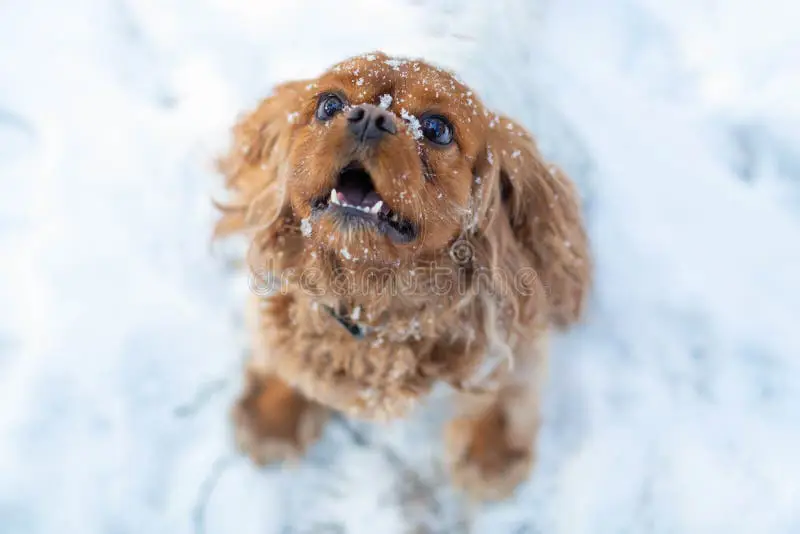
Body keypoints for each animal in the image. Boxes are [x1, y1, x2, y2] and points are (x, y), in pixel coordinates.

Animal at [216, 51, 592, 502]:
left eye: (437, 129)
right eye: (329, 104)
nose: (369, 116)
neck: (372, 297)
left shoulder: (514, 320)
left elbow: (513, 385)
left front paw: (491, 452)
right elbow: (287, 351)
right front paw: (273, 415)